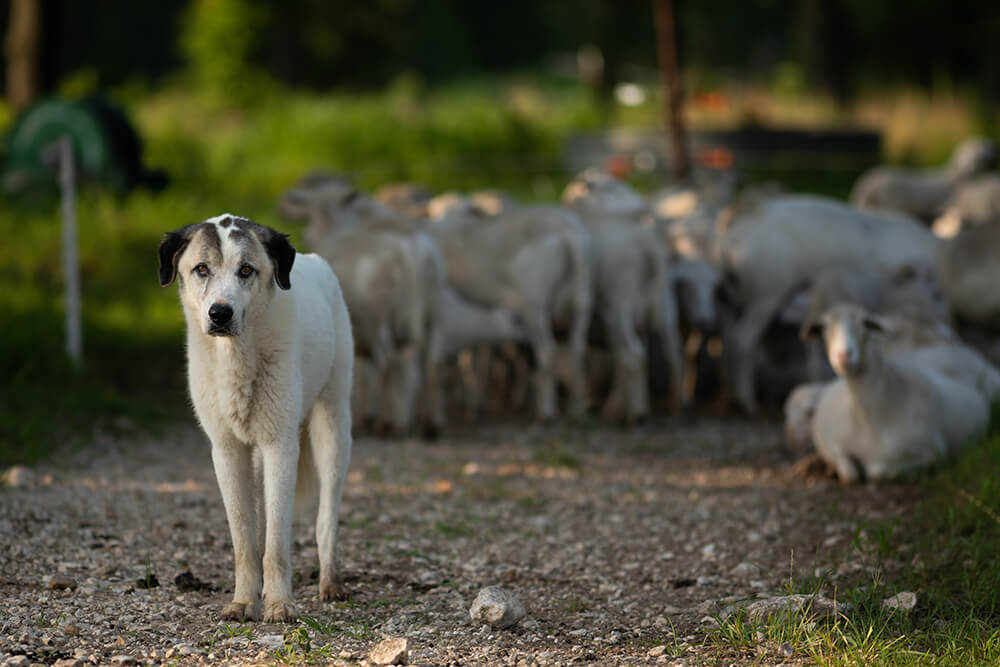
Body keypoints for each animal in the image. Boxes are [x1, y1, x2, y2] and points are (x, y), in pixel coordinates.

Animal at [158, 213, 354, 620]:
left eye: (246, 270)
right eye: (201, 269)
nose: (220, 313)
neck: (236, 357)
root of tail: (316, 261)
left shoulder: (281, 446)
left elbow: (277, 541)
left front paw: (279, 605)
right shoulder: (227, 451)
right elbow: (245, 539)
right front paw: (244, 602)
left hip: (333, 428)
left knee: (325, 517)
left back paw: (331, 583)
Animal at [716, 193, 940, 412]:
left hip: (731, 299)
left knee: (728, 339)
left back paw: (729, 395)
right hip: (767, 294)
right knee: (742, 339)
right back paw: (745, 400)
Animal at [800, 306, 988, 482]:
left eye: (865, 323)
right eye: (823, 327)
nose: (844, 355)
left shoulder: (932, 452)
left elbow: (877, 471)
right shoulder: (833, 443)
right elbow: (849, 472)